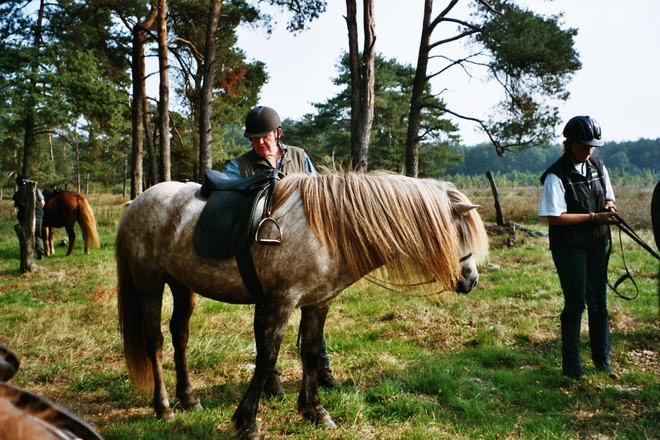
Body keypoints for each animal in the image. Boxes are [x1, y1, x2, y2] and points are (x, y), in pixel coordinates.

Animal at [116, 171, 492, 436]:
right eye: (461, 232)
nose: (471, 280)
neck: (328, 228)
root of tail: (137, 202)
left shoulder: (317, 304)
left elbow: (310, 354)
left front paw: (315, 411)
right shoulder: (279, 303)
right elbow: (266, 359)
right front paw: (247, 421)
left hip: (182, 285)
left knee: (180, 335)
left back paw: (189, 398)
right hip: (150, 283)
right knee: (155, 341)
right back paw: (164, 407)